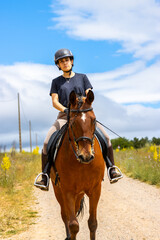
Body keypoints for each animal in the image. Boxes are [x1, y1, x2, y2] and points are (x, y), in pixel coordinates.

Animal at [50, 90, 105, 240]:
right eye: (73, 123)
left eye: (94, 120)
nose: (86, 156)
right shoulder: (67, 191)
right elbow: (73, 224)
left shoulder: (95, 189)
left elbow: (93, 223)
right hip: (58, 190)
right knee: (65, 216)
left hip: (79, 193)